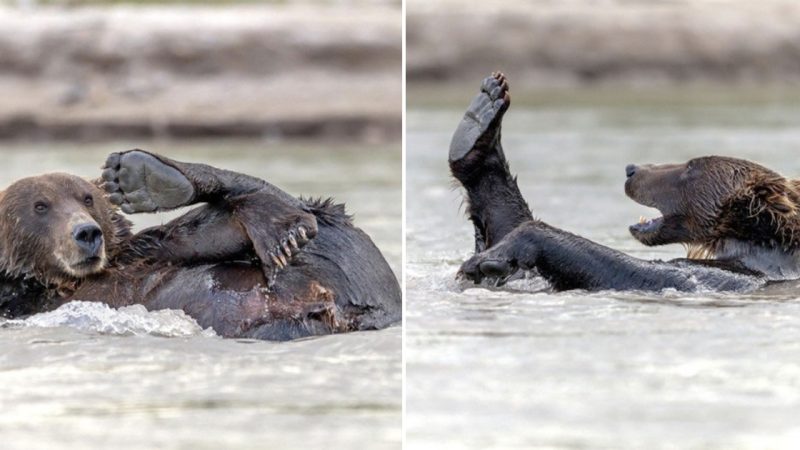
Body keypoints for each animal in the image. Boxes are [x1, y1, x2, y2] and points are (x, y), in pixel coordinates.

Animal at [0, 149, 400, 340]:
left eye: (86, 198)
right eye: (40, 206)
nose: (87, 232)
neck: (59, 283)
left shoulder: (133, 255)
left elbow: (185, 239)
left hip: (348, 265)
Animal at [450, 73, 800, 292]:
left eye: (691, 167)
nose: (633, 168)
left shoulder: (739, 275)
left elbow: (652, 273)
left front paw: (492, 258)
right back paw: (480, 120)